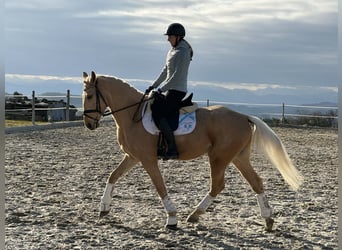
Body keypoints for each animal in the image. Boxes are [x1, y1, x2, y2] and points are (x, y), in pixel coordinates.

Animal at [81, 70, 304, 230]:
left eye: (90, 95)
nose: (89, 124)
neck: (132, 115)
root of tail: (243, 116)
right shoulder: (133, 156)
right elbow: (113, 176)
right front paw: (103, 209)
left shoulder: (147, 159)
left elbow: (159, 186)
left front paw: (172, 218)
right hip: (238, 158)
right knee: (256, 182)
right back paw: (268, 220)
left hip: (219, 157)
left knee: (218, 185)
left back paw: (195, 214)